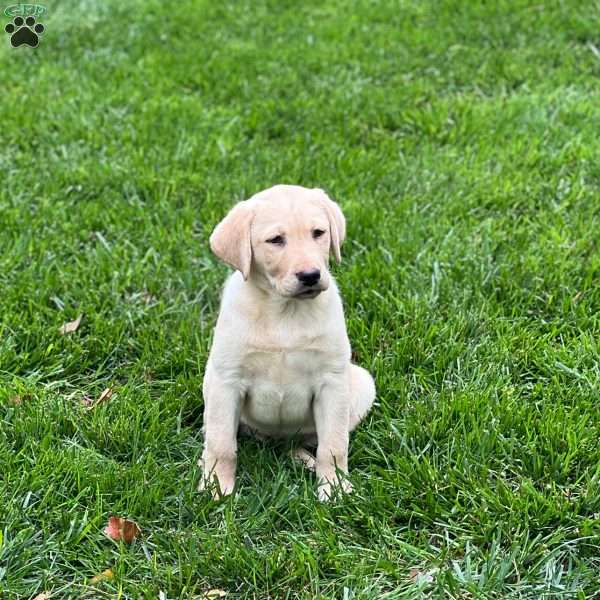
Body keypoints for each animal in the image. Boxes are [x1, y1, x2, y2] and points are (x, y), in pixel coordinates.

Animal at [204, 184, 378, 502]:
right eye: (275, 240)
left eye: (318, 233)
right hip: (211, 379)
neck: (284, 311)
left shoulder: (331, 382)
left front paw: (334, 488)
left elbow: (333, 445)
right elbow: (221, 444)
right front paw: (216, 488)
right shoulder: (228, 381)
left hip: (360, 384)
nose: (310, 275)